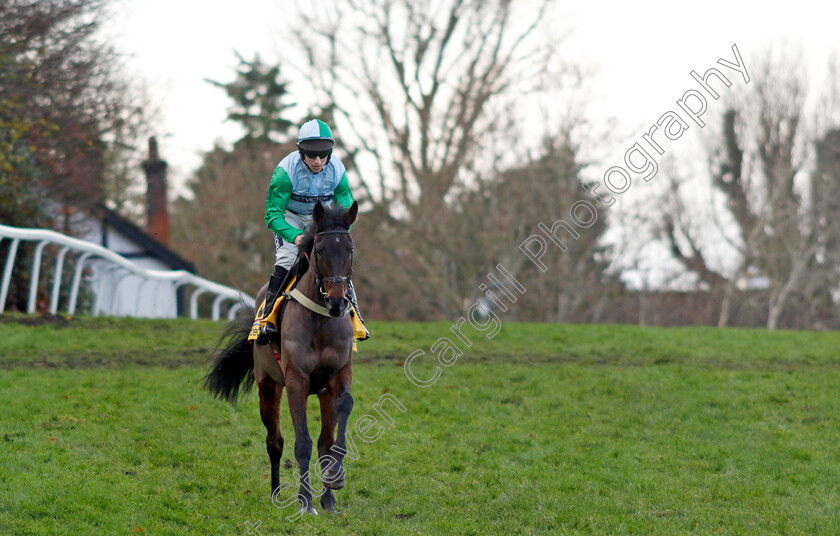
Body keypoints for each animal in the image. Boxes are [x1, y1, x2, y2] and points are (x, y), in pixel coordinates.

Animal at [207, 200, 360, 516]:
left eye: (350, 250)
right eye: (320, 250)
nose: (338, 301)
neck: (321, 320)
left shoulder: (338, 374)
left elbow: (339, 419)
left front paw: (334, 481)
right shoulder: (296, 379)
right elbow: (301, 442)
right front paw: (305, 502)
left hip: (321, 392)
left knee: (324, 441)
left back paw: (327, 499)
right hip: (268, 385)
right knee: (274, 441)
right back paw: (276, 493)